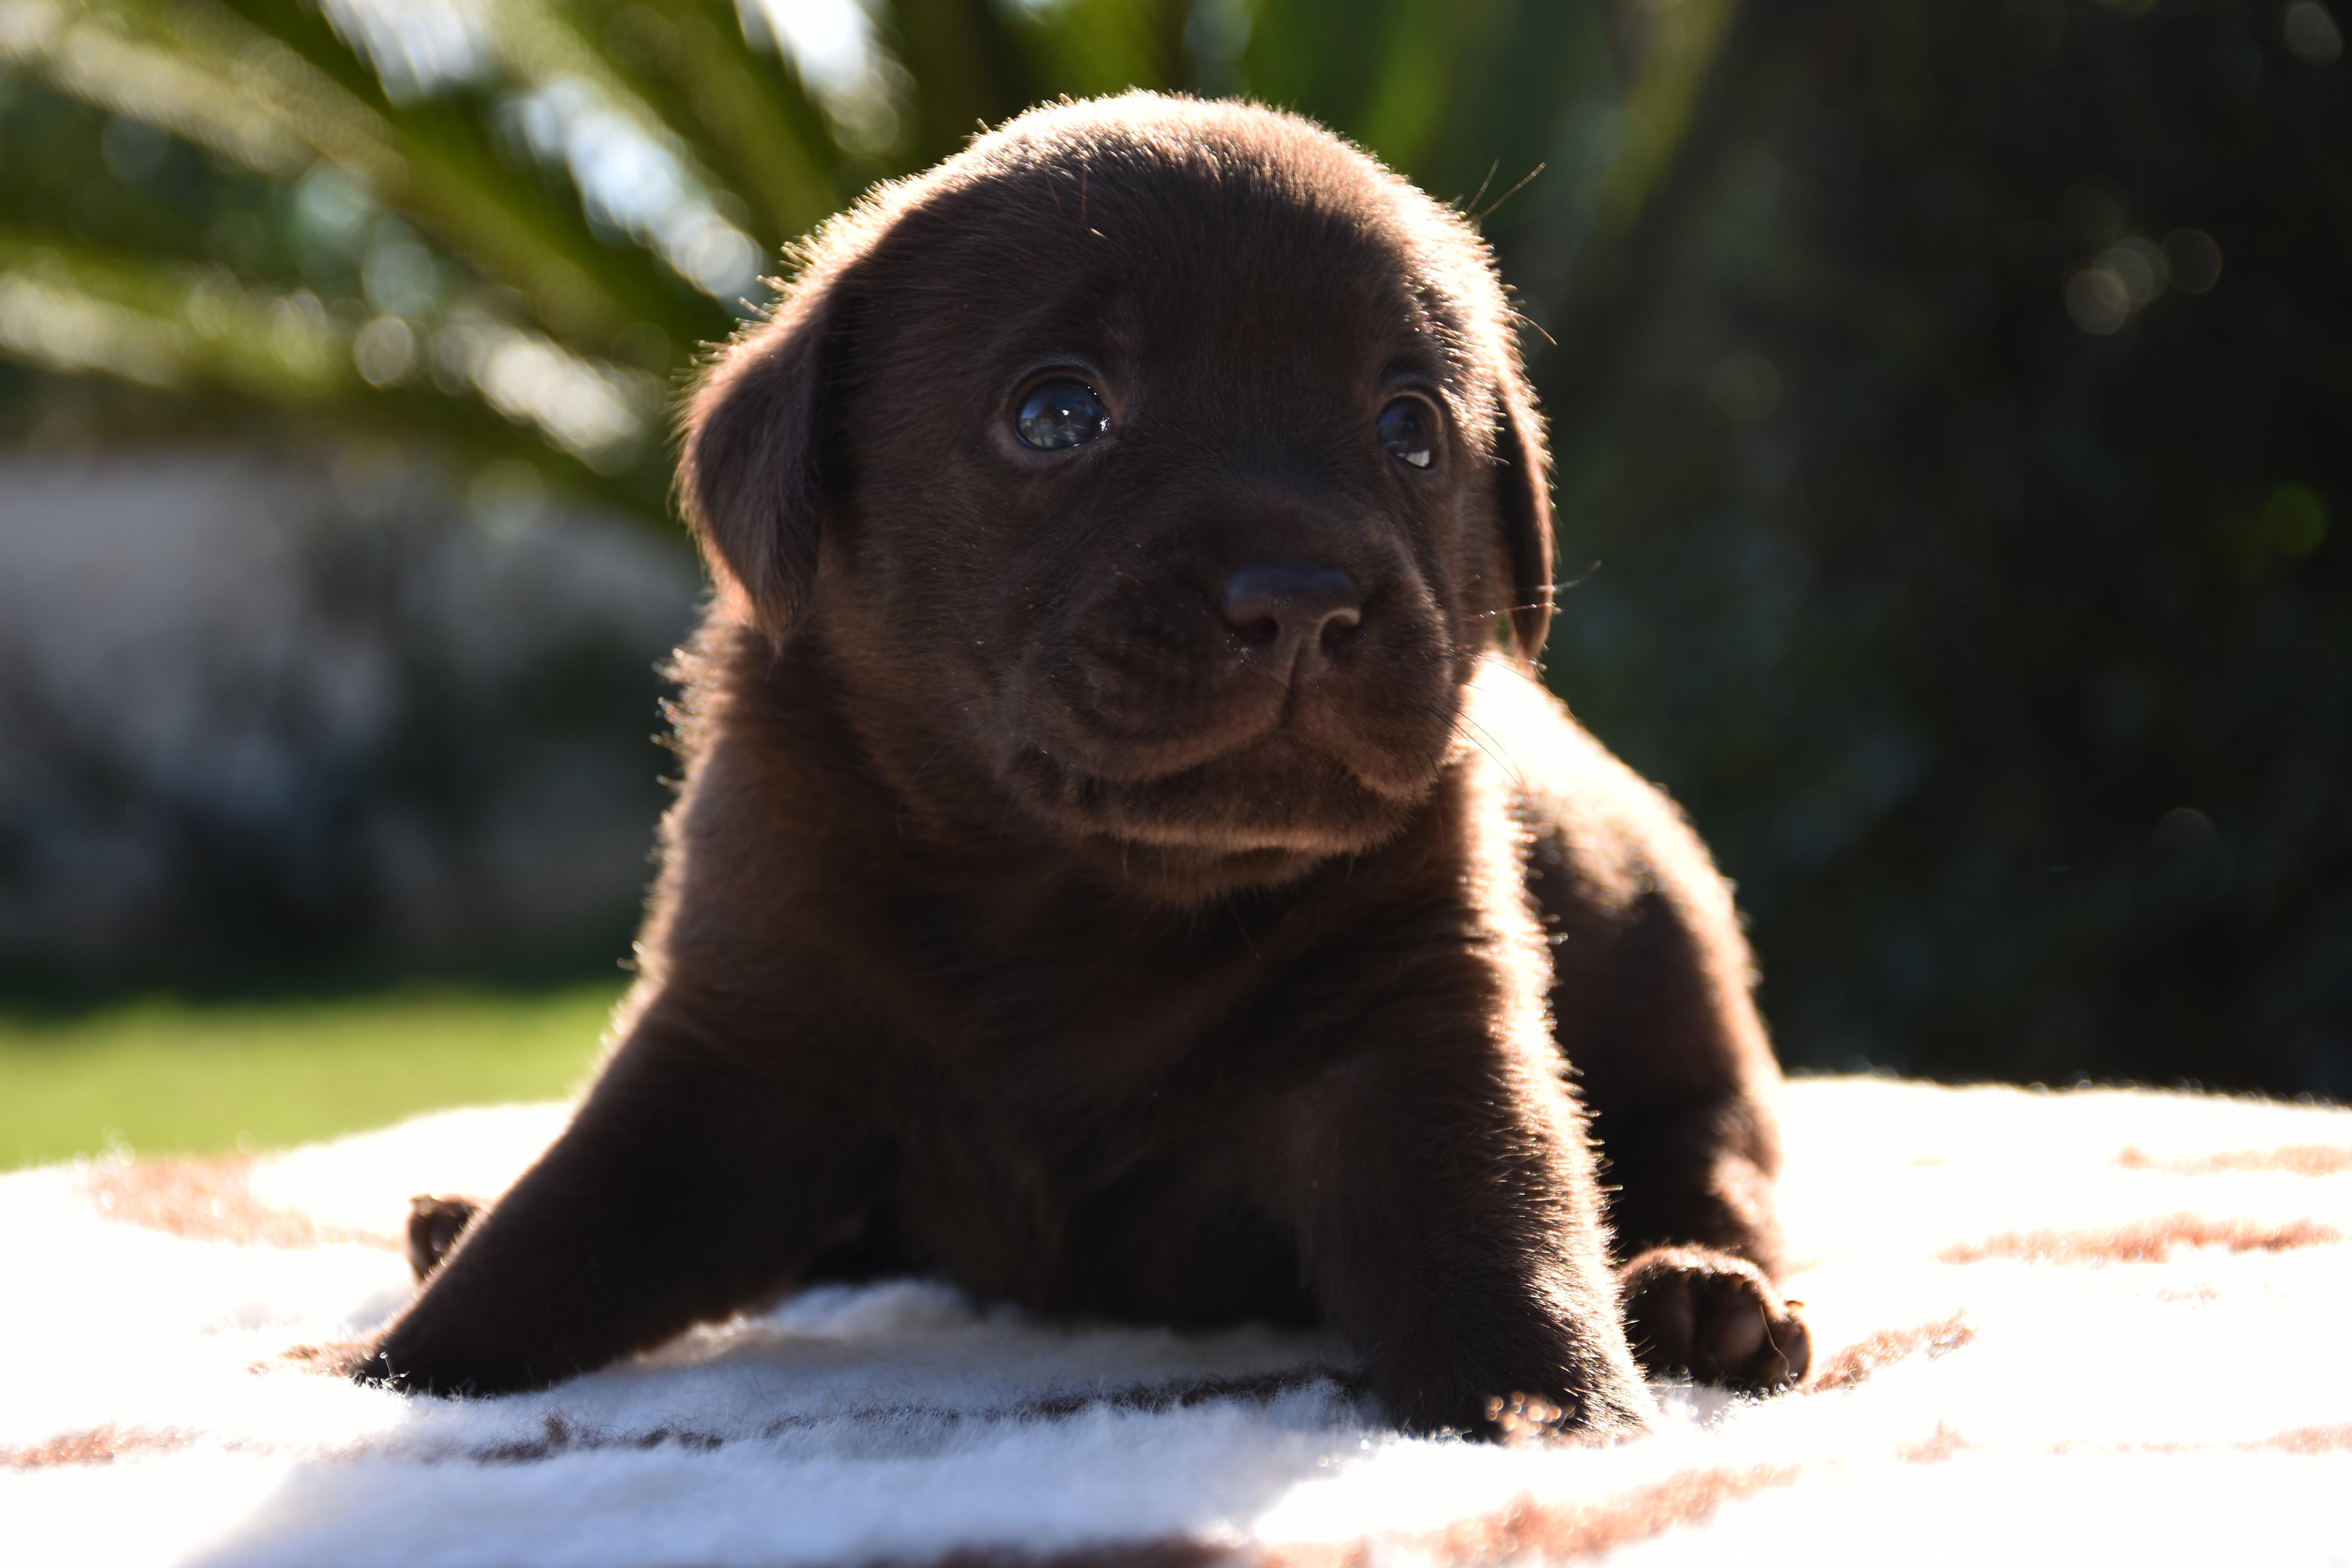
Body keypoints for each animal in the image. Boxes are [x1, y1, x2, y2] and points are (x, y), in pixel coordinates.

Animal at [358, 98, 1806, 1439]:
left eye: (1412, 429)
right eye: (1059, 414)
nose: (1303, 599)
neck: (1074, 889)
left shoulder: (1416, 1029)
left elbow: (1503, 1242)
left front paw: (1560, 1420)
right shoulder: (742, 1043)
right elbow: (557, 1240)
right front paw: (391, 1374)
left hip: (1682, 1011)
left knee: (1710, 1160)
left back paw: (1703, 1299)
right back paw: (453, 1214)